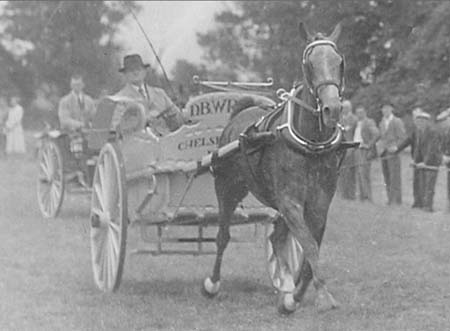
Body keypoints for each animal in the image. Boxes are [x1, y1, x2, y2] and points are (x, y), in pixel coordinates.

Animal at [202, 22, 346, 314]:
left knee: (278, 238)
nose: (332, 108)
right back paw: (213, 283)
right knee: (223, 236)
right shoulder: (290, 201)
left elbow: (310, 248)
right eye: (309, 64)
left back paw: (285, 284)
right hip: (227, 187)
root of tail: (240, 112)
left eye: (339, 61)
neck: (311, 144)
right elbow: (310, 246)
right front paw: (321, 296)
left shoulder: (319, 203)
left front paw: (294, 296)